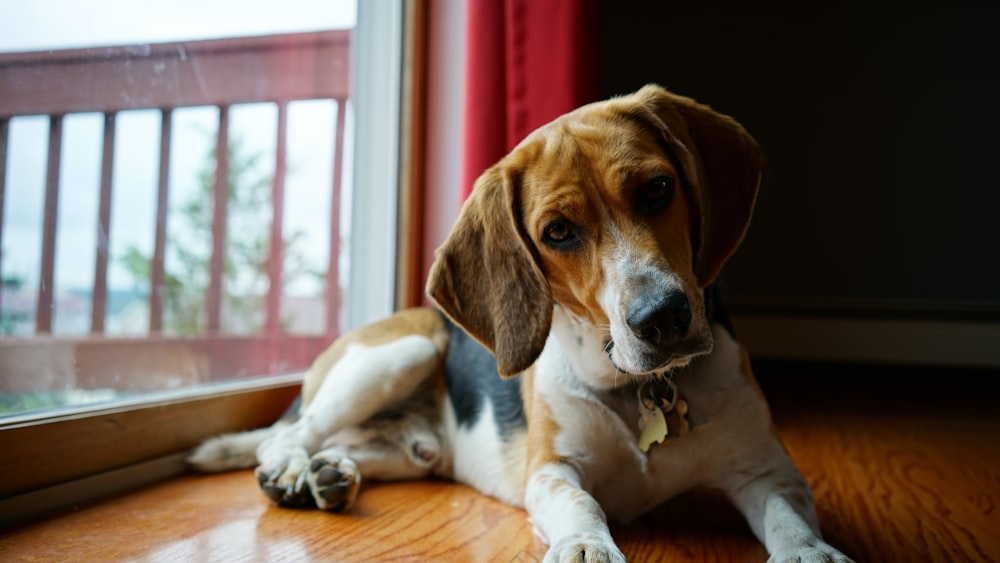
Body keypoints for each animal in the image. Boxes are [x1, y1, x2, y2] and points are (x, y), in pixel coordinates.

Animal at [189, 85, 852, 563]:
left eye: (657, 188)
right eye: (557, 232)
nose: (661, 318)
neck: (642, 389)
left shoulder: (768, 470)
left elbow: (788, 518)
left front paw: (810, 554)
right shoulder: (552, 470)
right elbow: (579, 504)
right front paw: (585, 547)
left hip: (416, 449)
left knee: (357, 447)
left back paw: (331, 474)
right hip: (403, 352)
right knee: (292, 433)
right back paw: (292, 468)